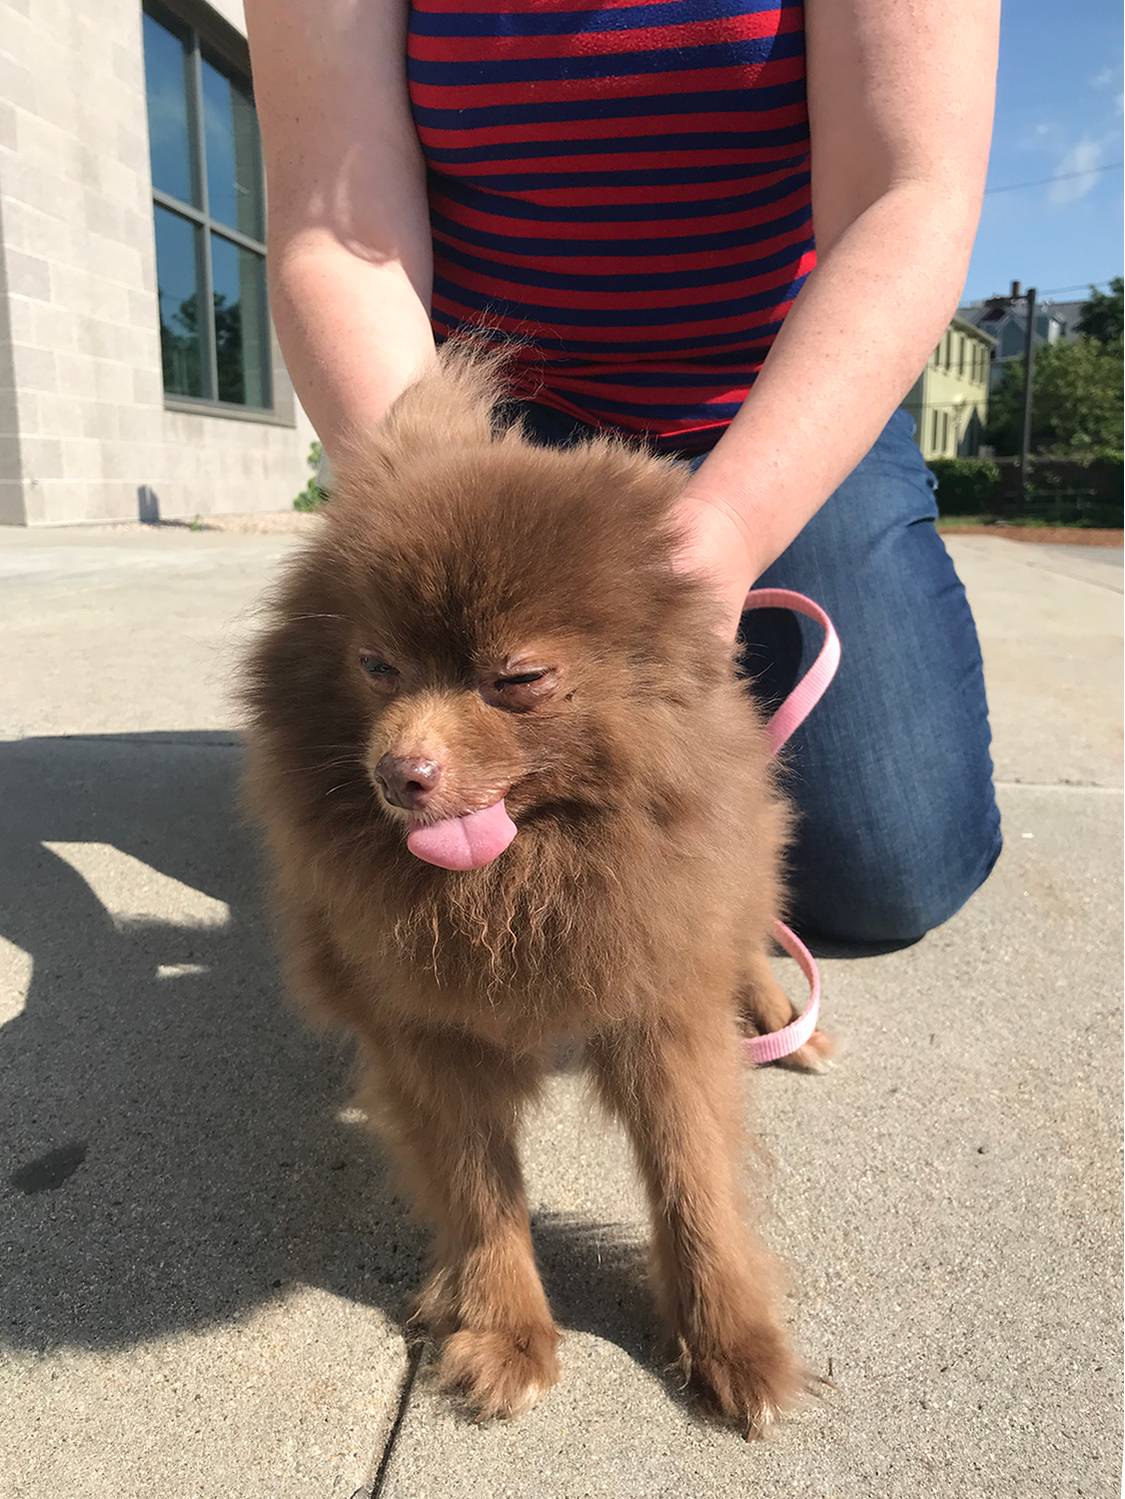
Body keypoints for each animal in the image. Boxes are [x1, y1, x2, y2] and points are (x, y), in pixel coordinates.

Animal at [242, 344, 832, 1433]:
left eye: (515, 678)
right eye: (376, 664)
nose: (401, 770)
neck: (521, 884)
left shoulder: (660, 1004)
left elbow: (693, 1179)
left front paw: (731, 1336)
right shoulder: (427, 1028)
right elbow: (481, 1190)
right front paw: (506, 1329)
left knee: (747, 926)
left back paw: (778, 1009)